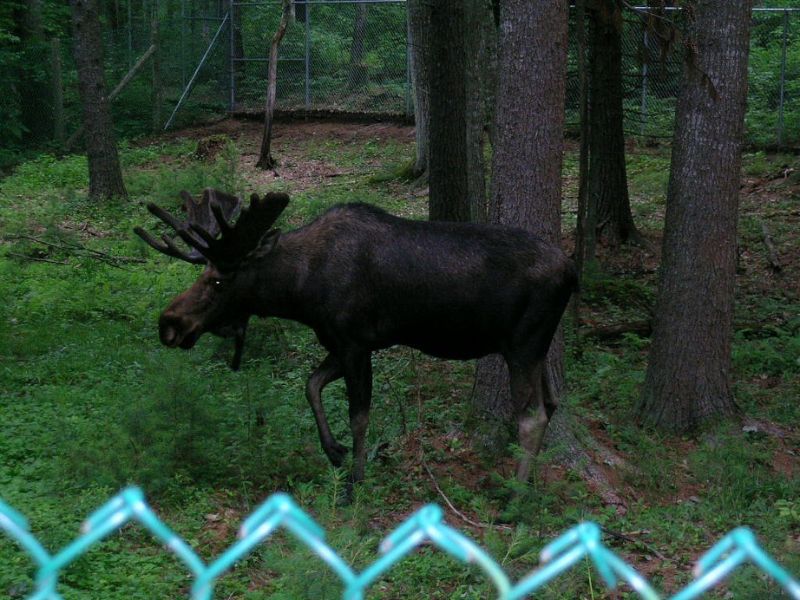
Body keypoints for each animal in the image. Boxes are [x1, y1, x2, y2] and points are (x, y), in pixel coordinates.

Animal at [134, 191, 580, 488]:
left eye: (217, 281)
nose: (168, 324)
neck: (299, 292)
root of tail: (571, 272)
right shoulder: (339, 342)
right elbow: (311, 384)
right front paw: (335, 451)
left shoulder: (355, 342)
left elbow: (359, 415)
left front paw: (355, 481)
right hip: (535, 347)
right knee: (552, 403)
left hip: (523, 344)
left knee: (532, 416)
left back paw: (514, 497)